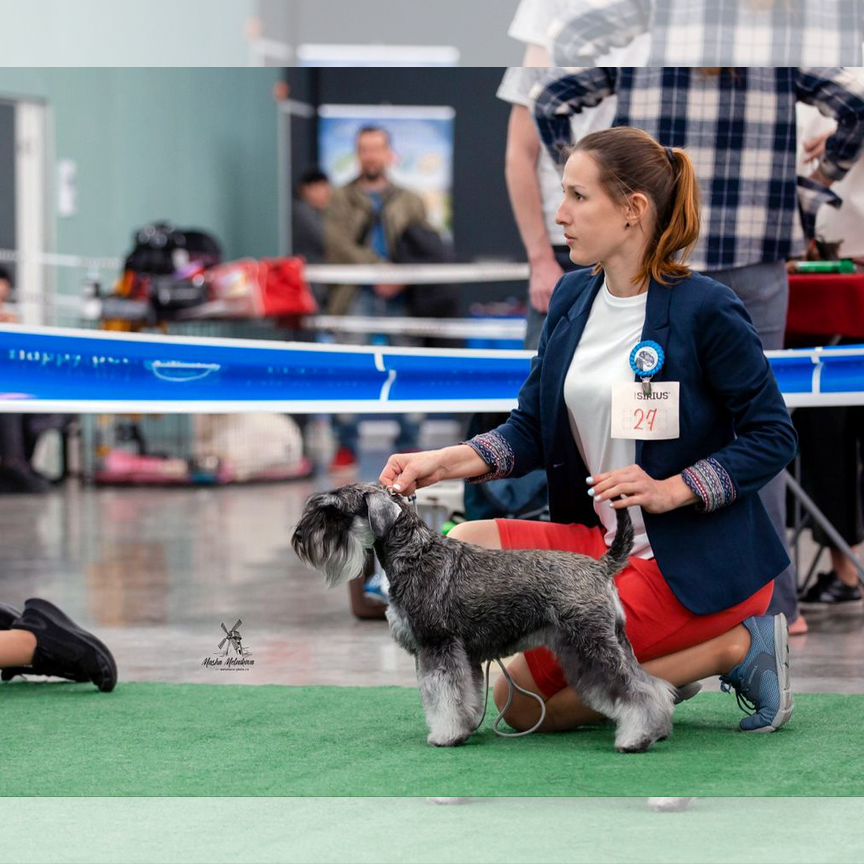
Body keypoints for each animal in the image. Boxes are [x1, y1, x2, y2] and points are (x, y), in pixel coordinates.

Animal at [294, 482, 680, 752]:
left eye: (334, 511)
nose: (299, 538)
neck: (414, 552)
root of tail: (601, 567)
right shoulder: (461, 655)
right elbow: (464, 695)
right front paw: (463, 730)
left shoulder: (437, 646)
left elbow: (443, 696)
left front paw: (444, 735)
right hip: (609, 643)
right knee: (652, 685)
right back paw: (657, 729)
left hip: (591, 645)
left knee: (636, 690)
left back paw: (636, 738)